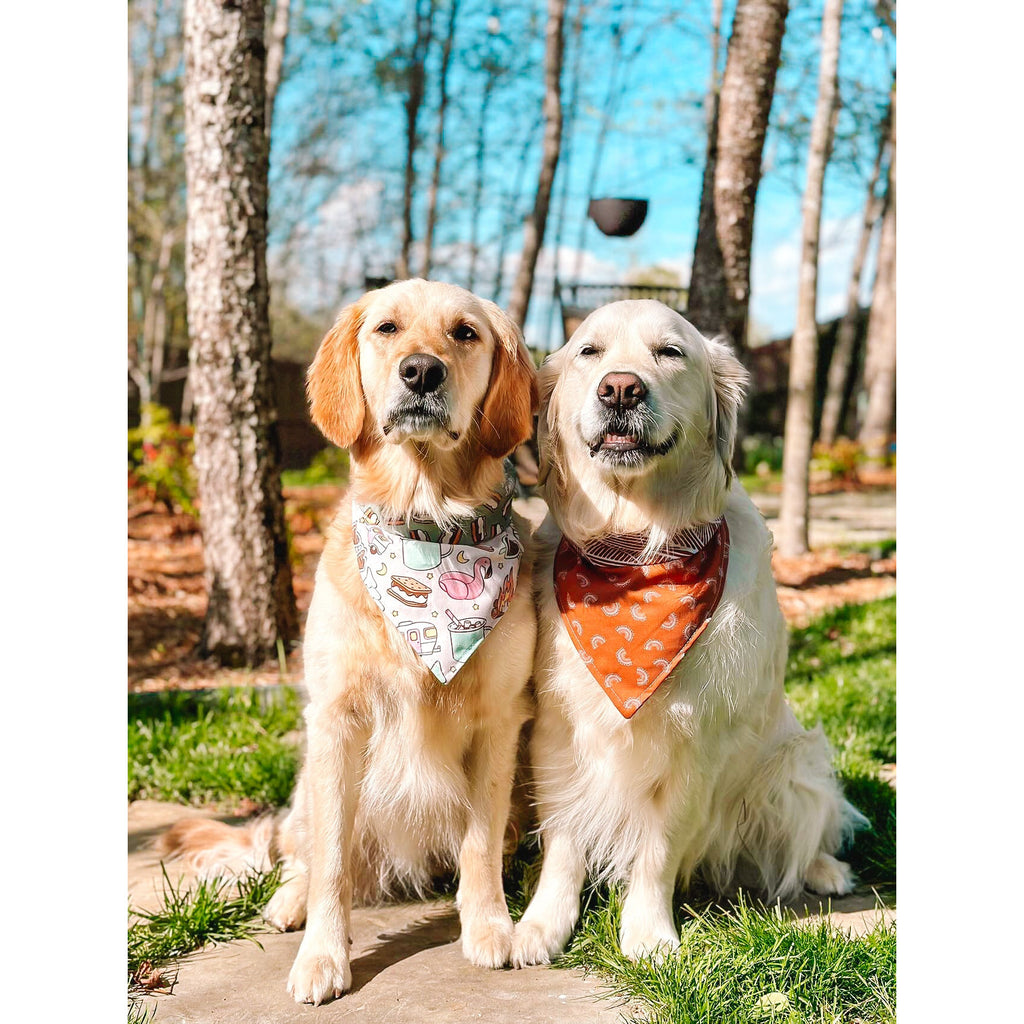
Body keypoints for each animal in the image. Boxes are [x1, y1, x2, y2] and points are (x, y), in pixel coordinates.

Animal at [157, 278, 536, 999]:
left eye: (465, 332)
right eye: (387, 328)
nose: (421, 373)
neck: (426, 520)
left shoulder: (498, 721)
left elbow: (478, 843)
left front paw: (490, 927)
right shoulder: (336, 721)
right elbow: (332, 862)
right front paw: (322, 957)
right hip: (307, 782)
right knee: (303, 856)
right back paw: (289, 902)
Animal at [512, 299, 864, 966]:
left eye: (670, 352)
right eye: (590, 351)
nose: (620, 389)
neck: (638, 550)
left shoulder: (697, 742)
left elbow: (658, 849)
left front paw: (649, 934)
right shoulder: (557, 731)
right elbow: (564, 837)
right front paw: (543, 924)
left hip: (794, 759)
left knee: (815, 821)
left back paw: (827, 870)